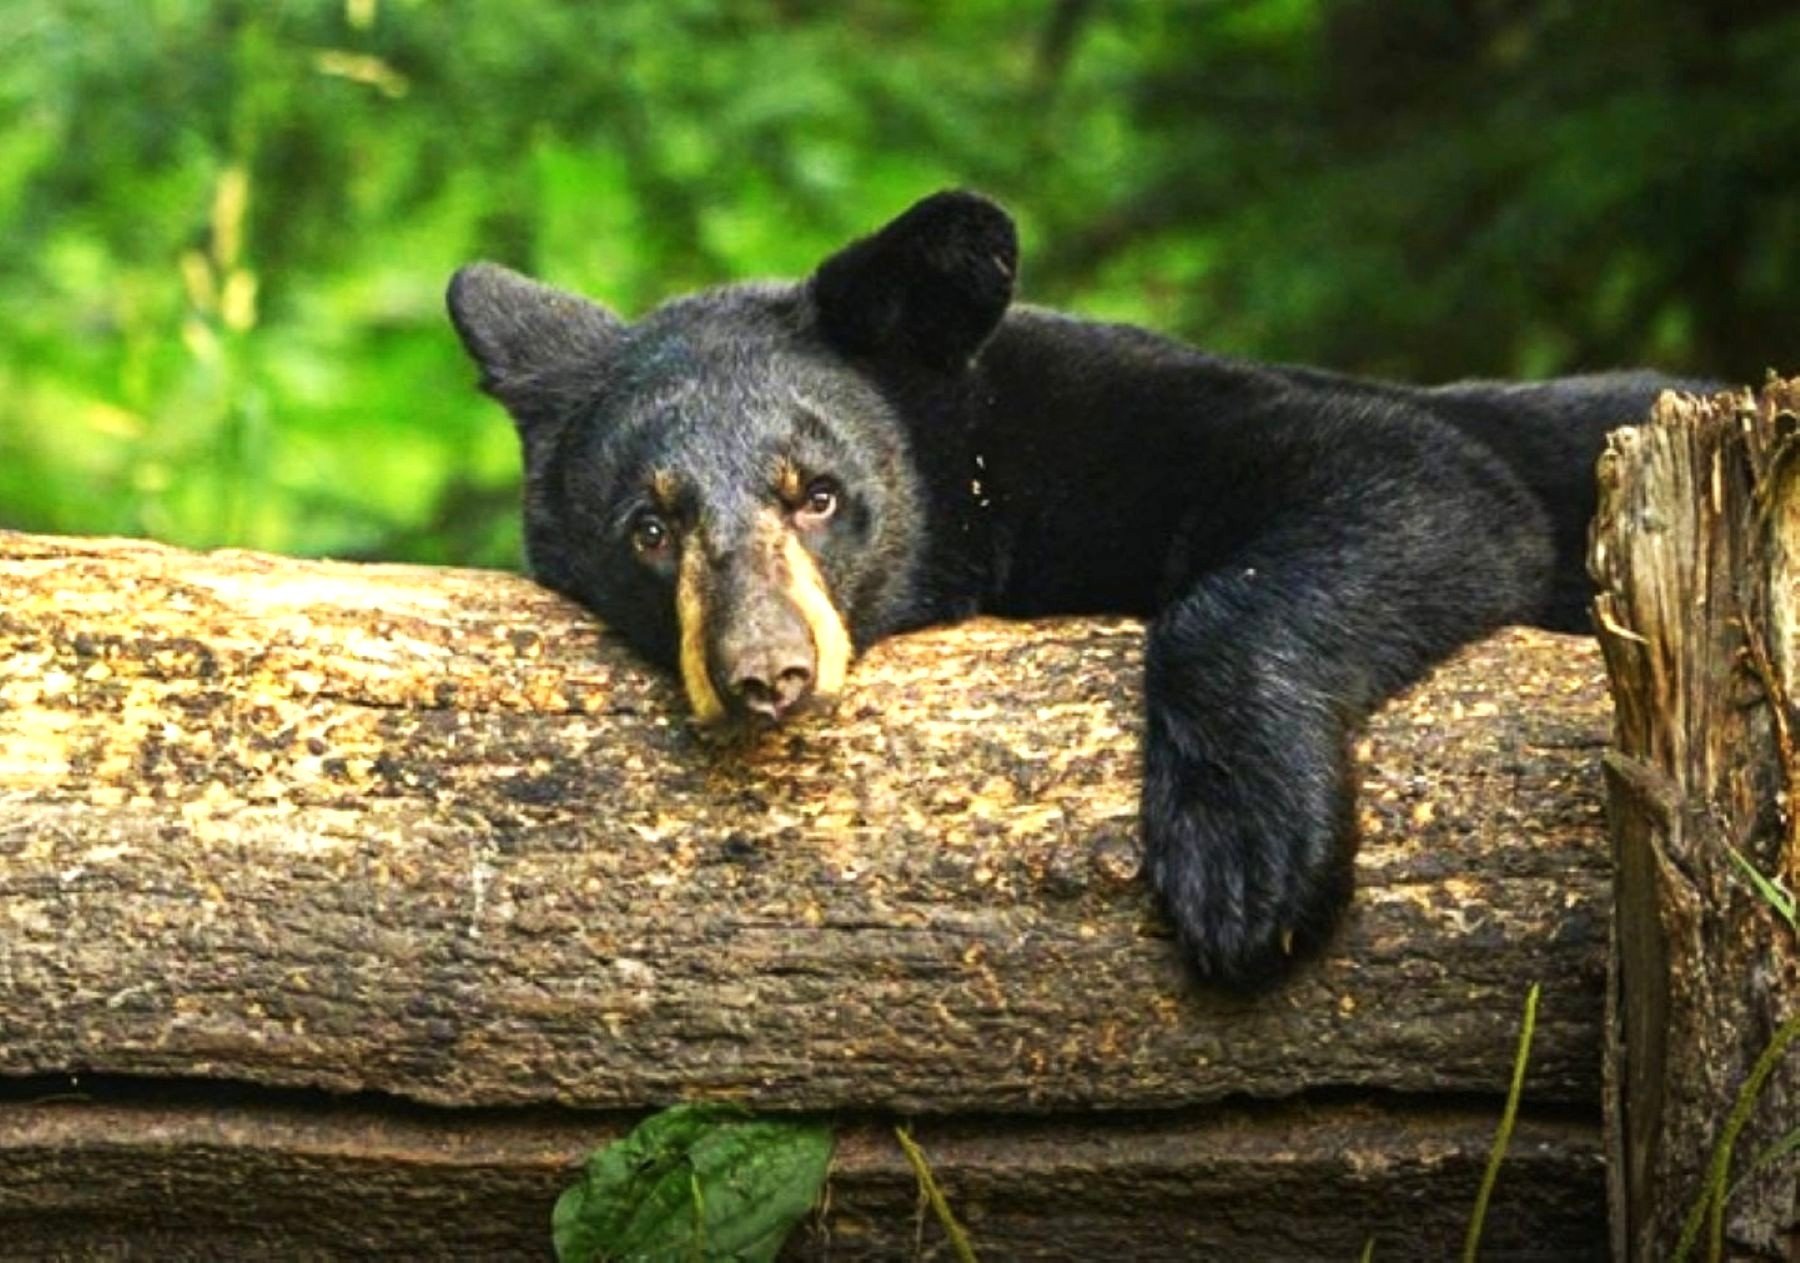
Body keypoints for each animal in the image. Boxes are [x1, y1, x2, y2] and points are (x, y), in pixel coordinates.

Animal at [447, 189, 1706, 992]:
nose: (767, 674)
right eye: (650, 527)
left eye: (818, 494)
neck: (979, 473)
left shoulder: (1133, 419)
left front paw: (1243, 868)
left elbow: (1422, 481)